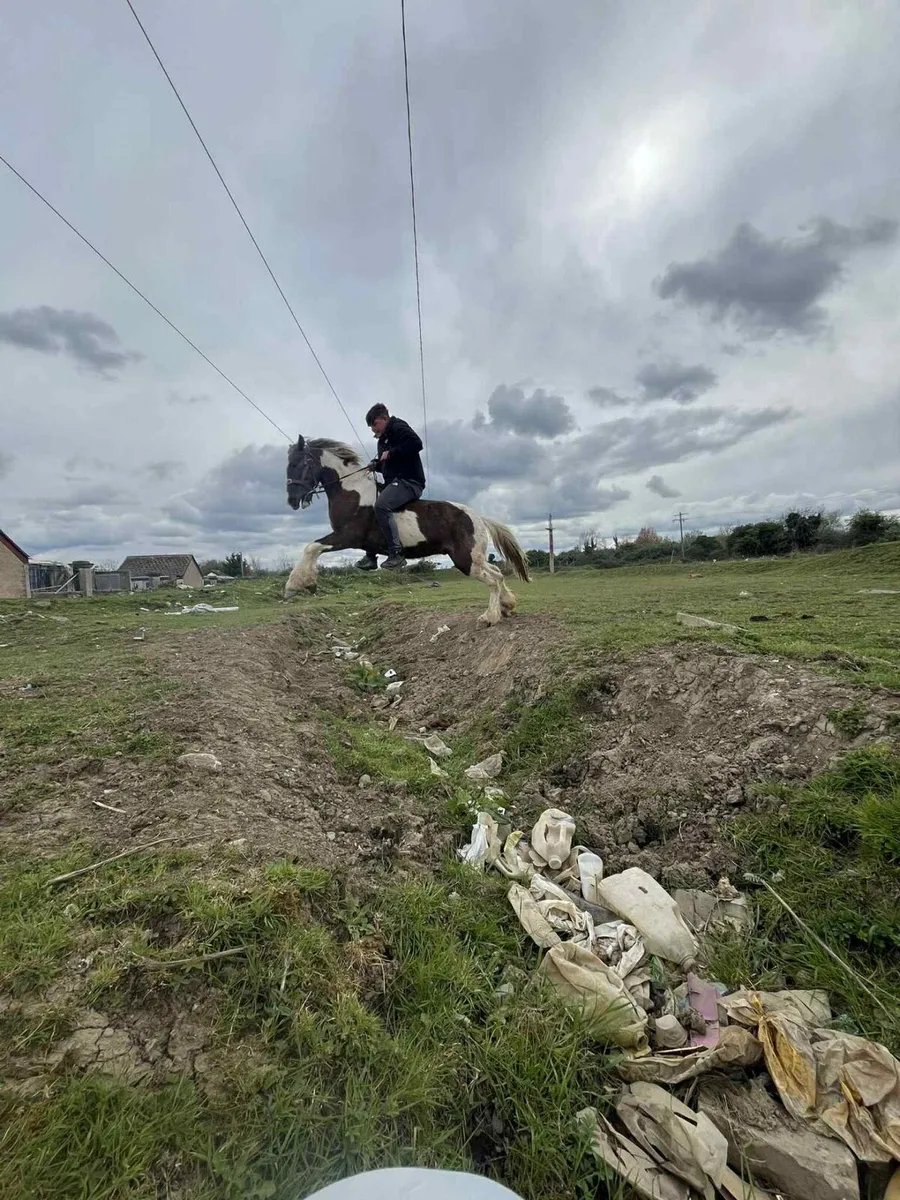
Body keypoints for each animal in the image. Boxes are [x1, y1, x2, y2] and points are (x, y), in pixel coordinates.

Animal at [284, 436, 530, 626]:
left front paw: (296, 585)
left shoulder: (347, 536)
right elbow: (315, 548)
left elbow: (311, 547)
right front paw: (307, 583)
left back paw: (490, 617)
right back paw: (507, 606)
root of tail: (478, 518)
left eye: (299, 463)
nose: (292, 501)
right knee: (497, 573)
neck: (352, 493)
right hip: (473, 557)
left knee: (493, 580)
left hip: (465, 559)